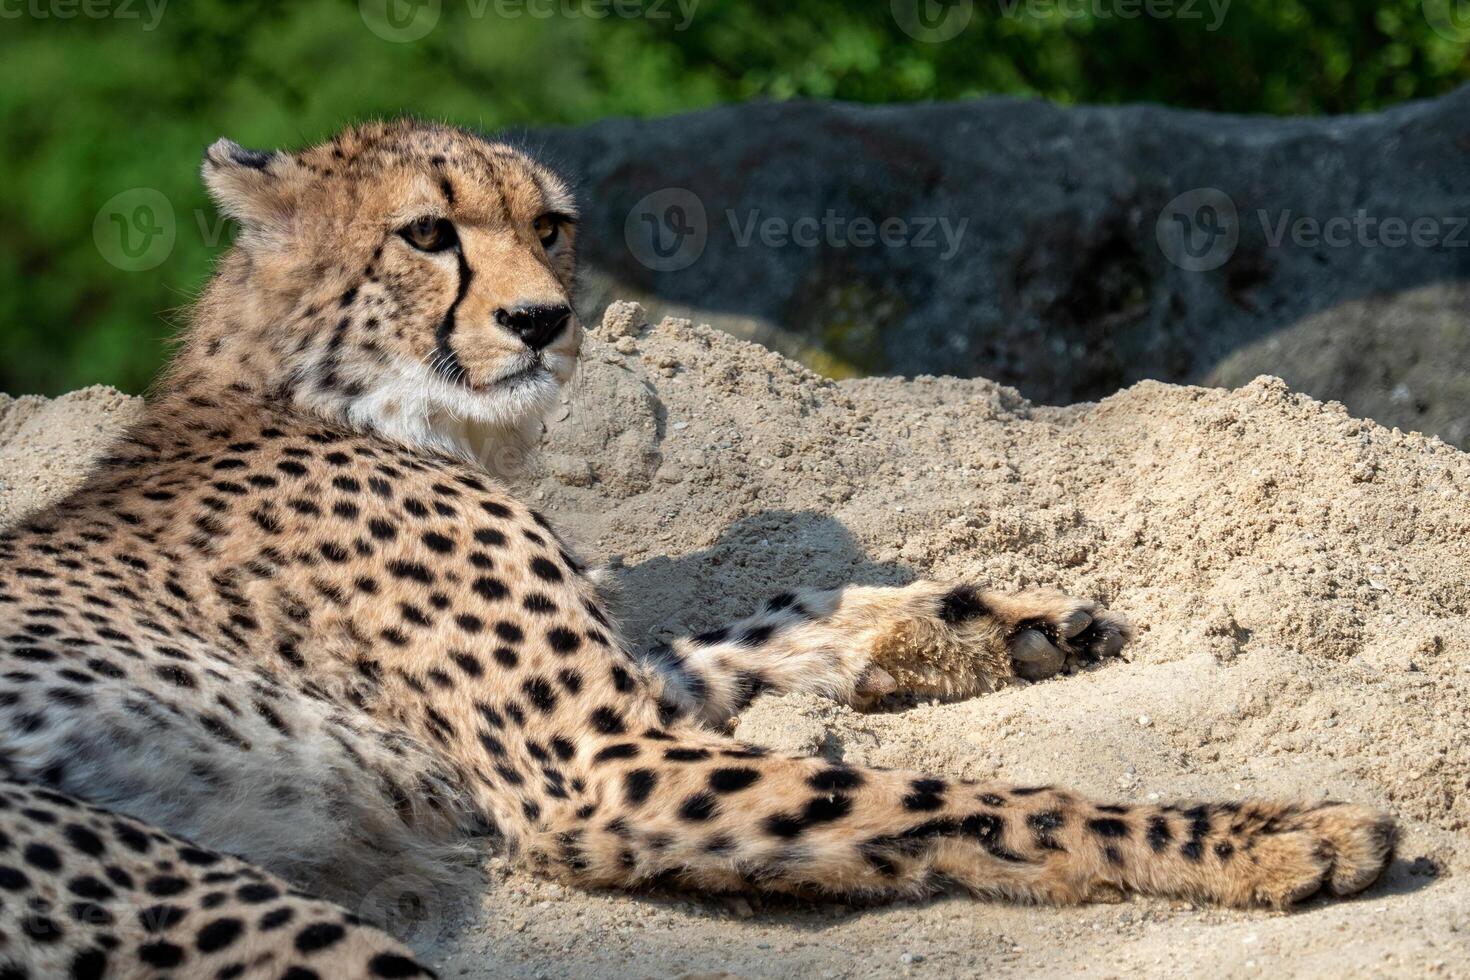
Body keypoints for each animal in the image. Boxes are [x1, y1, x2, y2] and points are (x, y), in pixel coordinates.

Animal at [0, 119, 1399, 975]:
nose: (543, 320)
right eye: (426, 233)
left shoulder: (625, 710)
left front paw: (995, 624)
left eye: (550, 226)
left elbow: (754, 618)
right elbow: (970, 798)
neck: (346, 390)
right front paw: (1259, 830)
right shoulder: (597, 770)